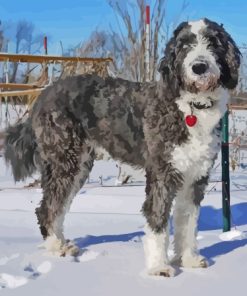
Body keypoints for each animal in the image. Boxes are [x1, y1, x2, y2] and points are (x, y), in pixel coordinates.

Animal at [4, 19, 241, 278]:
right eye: (185, 45)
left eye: (213, 42)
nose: (199, 66)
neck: (190, 108)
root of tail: (45, 93)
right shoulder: (162, 174)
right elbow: (157, 219)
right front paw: (159, 267)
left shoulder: (195, 176)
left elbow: (188, 221)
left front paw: (188, 260)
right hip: (64, 158)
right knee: (48, 207)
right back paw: (56, 247)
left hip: (79, 165)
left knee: (58, 204)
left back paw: (61, 243)